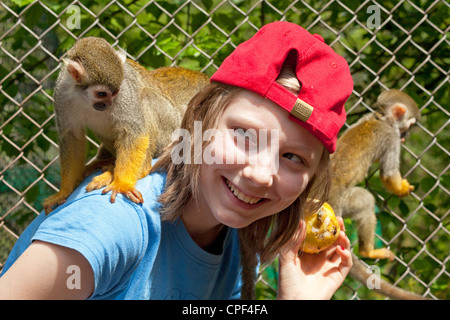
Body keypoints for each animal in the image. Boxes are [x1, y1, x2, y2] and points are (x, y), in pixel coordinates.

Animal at [44, 36, 209, 214]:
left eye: (115, 92)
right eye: (101, 94)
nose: (108, 104)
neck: (84, 97)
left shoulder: (125, 91)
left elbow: (133, 132)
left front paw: (122, 184)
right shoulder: (61, 92)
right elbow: (71, 137)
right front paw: (64, 192)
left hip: (170, 129)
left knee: (146, 97)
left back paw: (137, 169)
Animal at [328, 90, 428, 300]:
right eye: (410, 125)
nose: (406, 134)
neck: (381, 118)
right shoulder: (392, 137)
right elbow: (388, 173)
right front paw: (402, 189)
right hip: (345, 201)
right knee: (367, 201)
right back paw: (368, 252)